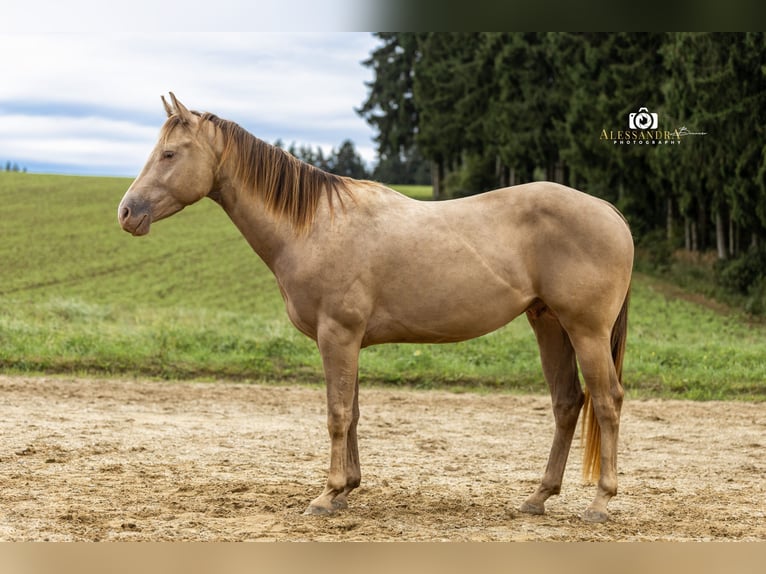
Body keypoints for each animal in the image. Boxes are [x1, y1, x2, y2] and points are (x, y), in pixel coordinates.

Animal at [117, 93, 633, 523]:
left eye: (169, 154)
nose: (127, 212)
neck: (315, 224)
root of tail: (609, 211)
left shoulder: (337, 335)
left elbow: (336, 413)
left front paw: (327, 494)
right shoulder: (349, 341)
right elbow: (354, 411)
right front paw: (347, 488)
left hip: (585, 331)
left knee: (607, 402)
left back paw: (600, 502)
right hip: (550, 326)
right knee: (567, 403)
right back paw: (538, 497)